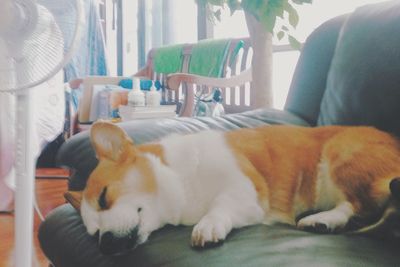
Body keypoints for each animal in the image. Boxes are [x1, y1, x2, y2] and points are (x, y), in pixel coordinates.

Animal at [79, 121, 400, 255]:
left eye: (104, 197)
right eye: (93, 233)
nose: (106, 245)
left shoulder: (245, 191)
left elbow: (219, 208)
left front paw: (207, 226)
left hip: (341, 154)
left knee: (356, 204)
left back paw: (322, 218)